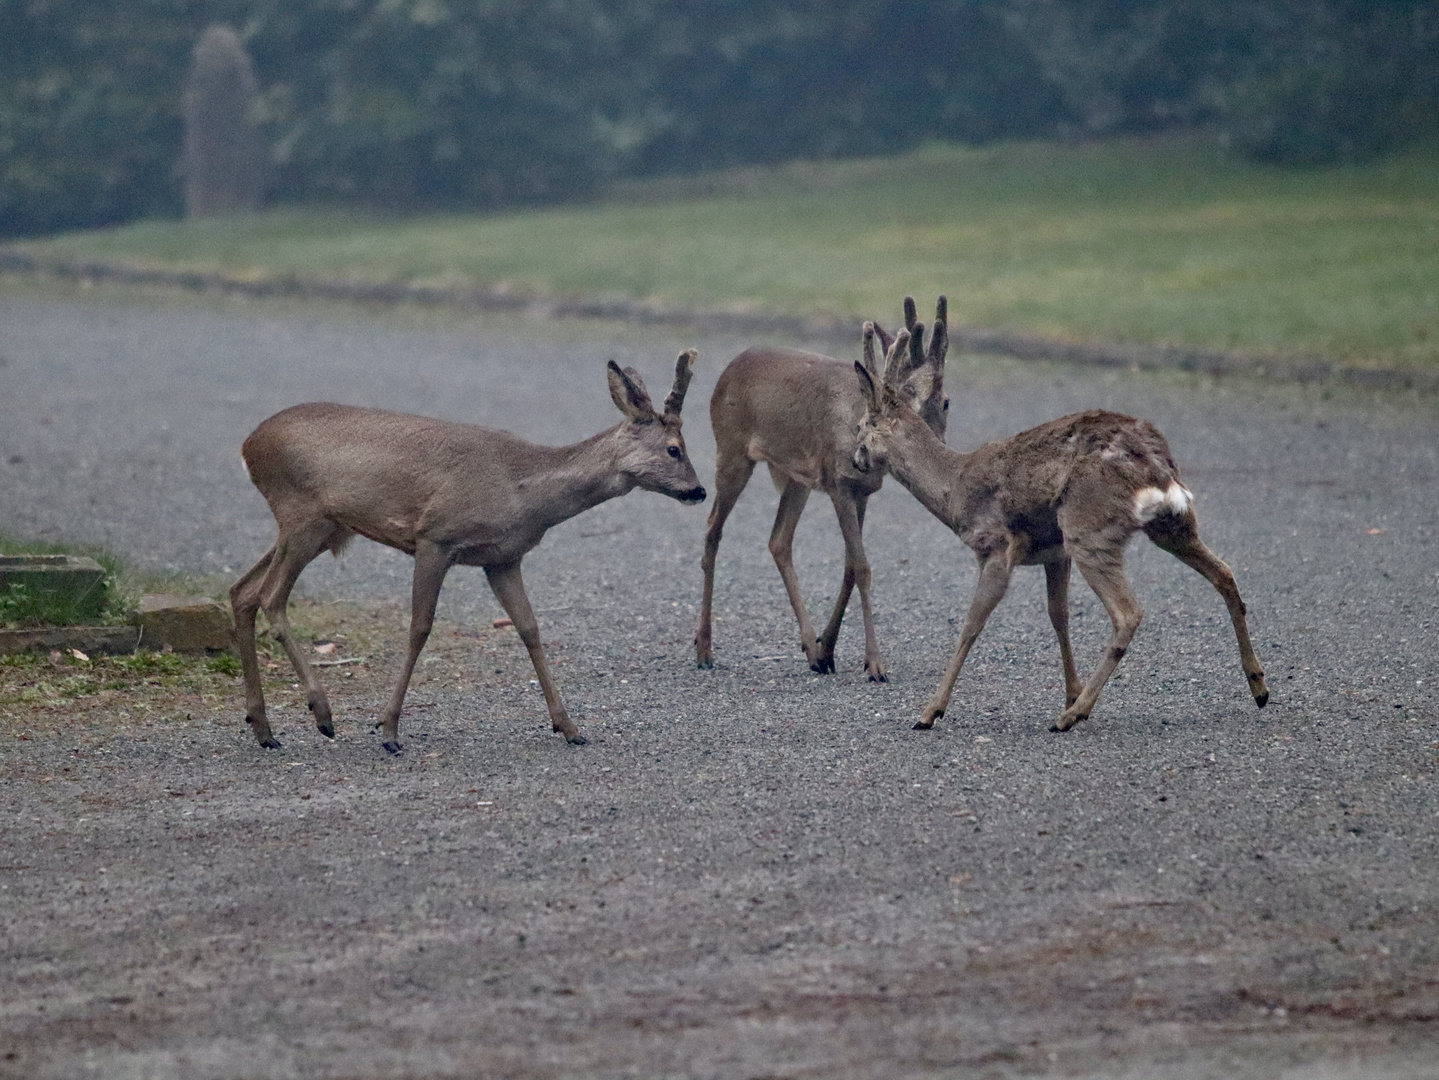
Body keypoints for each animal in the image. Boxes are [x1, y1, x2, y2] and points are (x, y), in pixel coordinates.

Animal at [231, 352, 707, 753]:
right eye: (674, 449)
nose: (699, 491)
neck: (524, 491)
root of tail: (248, 446)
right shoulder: (434, 538)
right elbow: (420, 627)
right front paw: (389, 729)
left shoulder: (502, 559)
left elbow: (530, 629)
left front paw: (569, 727)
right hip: (303, 514)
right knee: (271, 596)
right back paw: (322, 713)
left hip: (323, 528)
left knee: (243, 591)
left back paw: (264, 728)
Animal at [699, 300, 955, 678]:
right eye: (906, 404)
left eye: (947, 401)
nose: (935, 447)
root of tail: (728, 369)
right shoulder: (839, 484)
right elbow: (862, 567)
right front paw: (874, 662)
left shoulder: (862, 491)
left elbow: (850, 566)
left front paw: (828, 648)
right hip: (732, 452)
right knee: (713, 530)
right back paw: (704, 649)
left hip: (796, 477)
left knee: (778, 540)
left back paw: (811, 649)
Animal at [851, 327, 1272, 736]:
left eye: (861, 426)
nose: (855, 459)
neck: (954, 489)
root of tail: (1157, 465)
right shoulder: (1054, 553)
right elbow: (1059, 615)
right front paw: (1071, 692)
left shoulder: (996, 547)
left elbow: (971, 625)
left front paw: (930, 711)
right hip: (1172, 523)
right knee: (1225, 573)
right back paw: (1259, 686)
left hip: (1090, 529)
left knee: (1128, 612)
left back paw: (1072, 717)